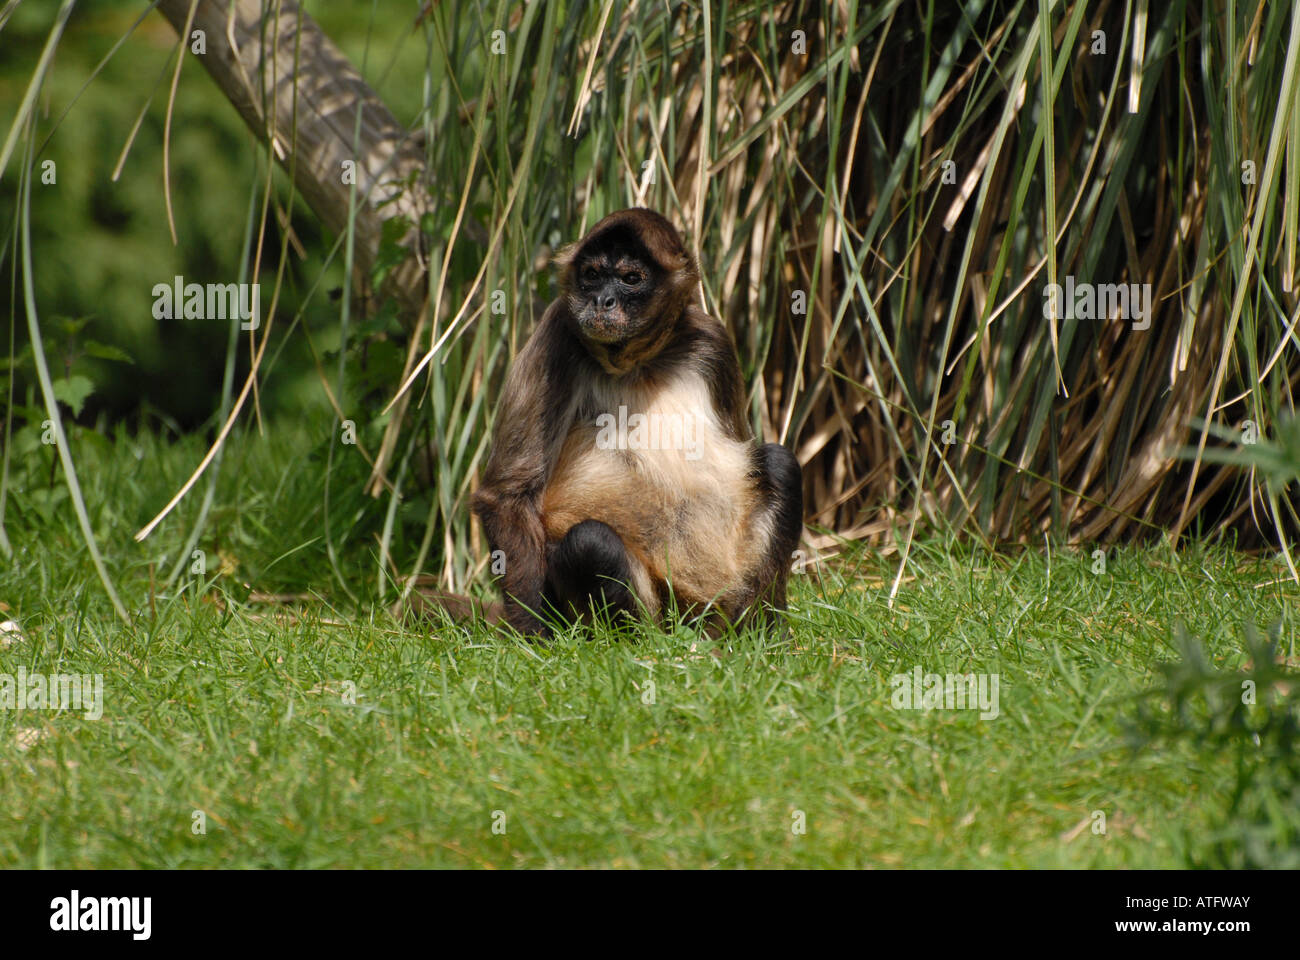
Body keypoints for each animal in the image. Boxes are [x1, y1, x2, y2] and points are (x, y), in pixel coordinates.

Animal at [469, 208, 803, 636]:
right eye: (592, 274)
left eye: (630, 279)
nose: (602, 300)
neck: (637, 361)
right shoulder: (558, 330)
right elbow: (506, 494)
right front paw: (533, 638)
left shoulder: (713, 342)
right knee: (589, 540)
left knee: (780, 463)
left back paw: (755, 633)